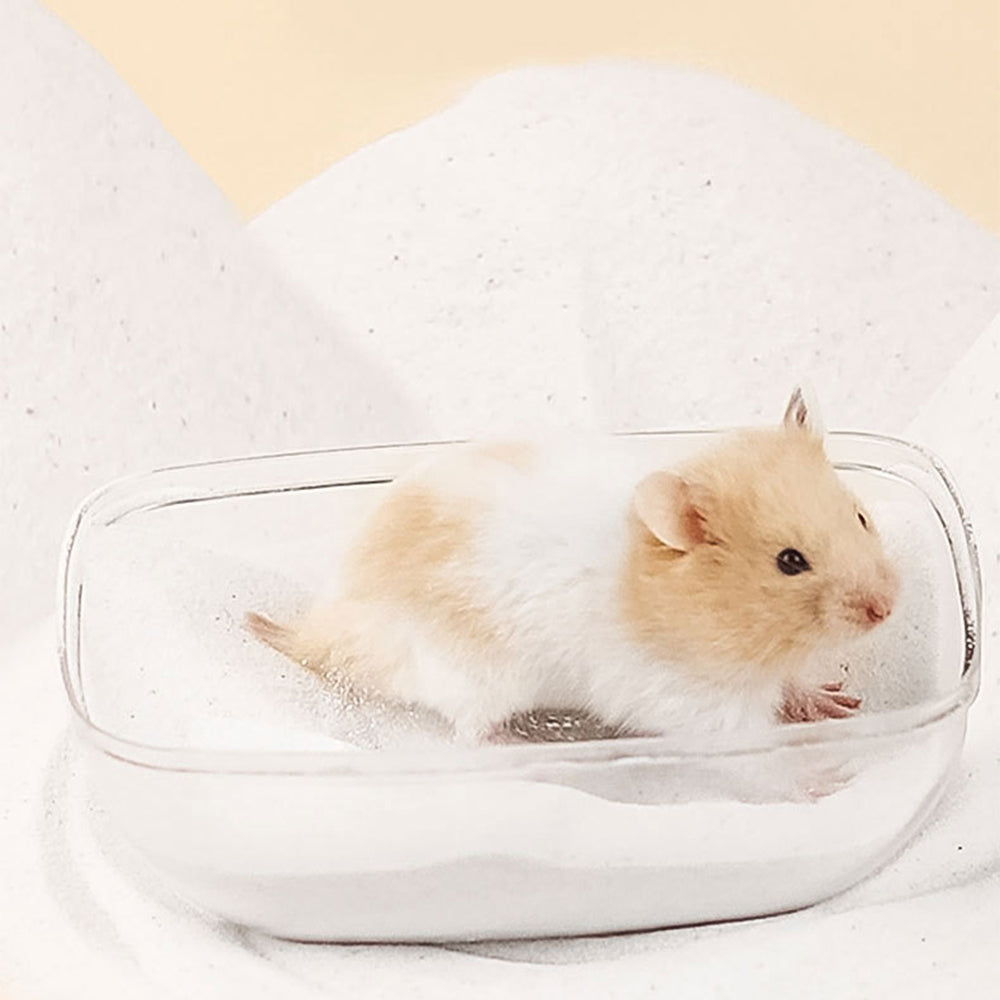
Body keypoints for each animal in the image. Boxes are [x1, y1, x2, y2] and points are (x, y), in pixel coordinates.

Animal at [247, 387, 898, 743]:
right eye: (790, 562)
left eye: (861, 516)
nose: (887, 609)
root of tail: (320, 635)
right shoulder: (683, 699)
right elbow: (754, 736)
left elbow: (794, 683)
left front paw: (834, 701)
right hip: (471, 678)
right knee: (471, 733)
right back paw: (524, 740)